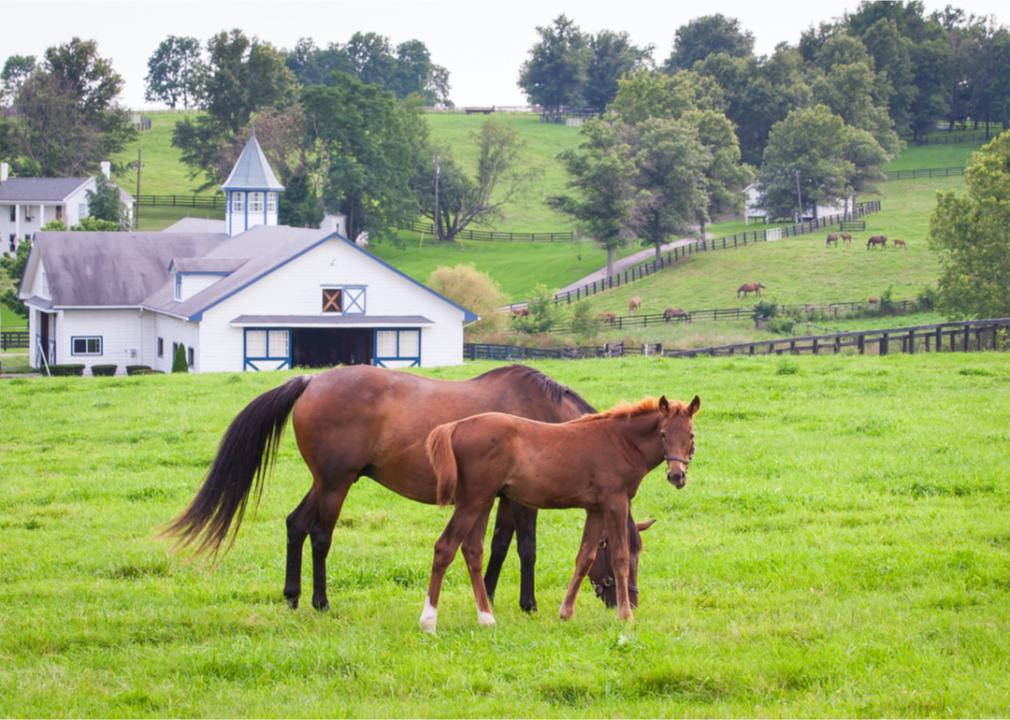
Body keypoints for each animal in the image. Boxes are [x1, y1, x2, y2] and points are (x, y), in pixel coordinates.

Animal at [160, 365, 642, 613]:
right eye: (628, 555)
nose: (629, 599)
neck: (545, 417)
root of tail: (312, 381)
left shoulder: (503, 498)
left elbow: (500, 546)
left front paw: (486, 593)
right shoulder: (525, 500)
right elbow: (526, 548)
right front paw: (528, 604)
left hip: (324, 482)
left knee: (295, 525)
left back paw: (293, 596)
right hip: (335, 484)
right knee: (319, 535)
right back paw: (320, 601)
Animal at [422, 389, 698, 630]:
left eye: (691, 435)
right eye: (663, 434)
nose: (677, 476)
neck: (620, 442)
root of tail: (455, 426)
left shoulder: (595, 510)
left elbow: (584, 558)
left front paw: (566, 612)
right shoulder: (616, 503)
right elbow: (619, 557)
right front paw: (625, 616)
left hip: (483, 502)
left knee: (472, 551)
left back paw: (486, 618)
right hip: (472, 502)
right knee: (445, 547)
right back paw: (428, 622)